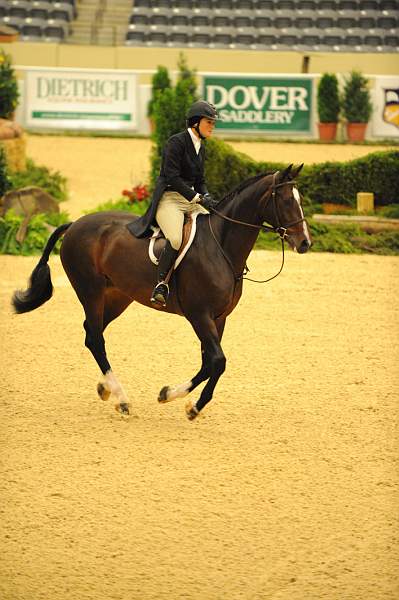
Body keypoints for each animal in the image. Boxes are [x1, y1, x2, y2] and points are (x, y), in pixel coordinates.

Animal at [12, 164, 310, 422]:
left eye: (300, 200)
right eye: (286, 201)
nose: (305, 243)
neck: (221, 246)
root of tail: (74, 224)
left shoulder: (219, 318)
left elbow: (208, 363)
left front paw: (168, 394)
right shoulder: (199, 315)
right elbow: (218, 361)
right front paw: (193, 407)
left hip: (117, 296)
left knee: (91, 333)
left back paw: (106, 388)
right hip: (91, 290)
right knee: (96, 338)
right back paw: (122, 398)